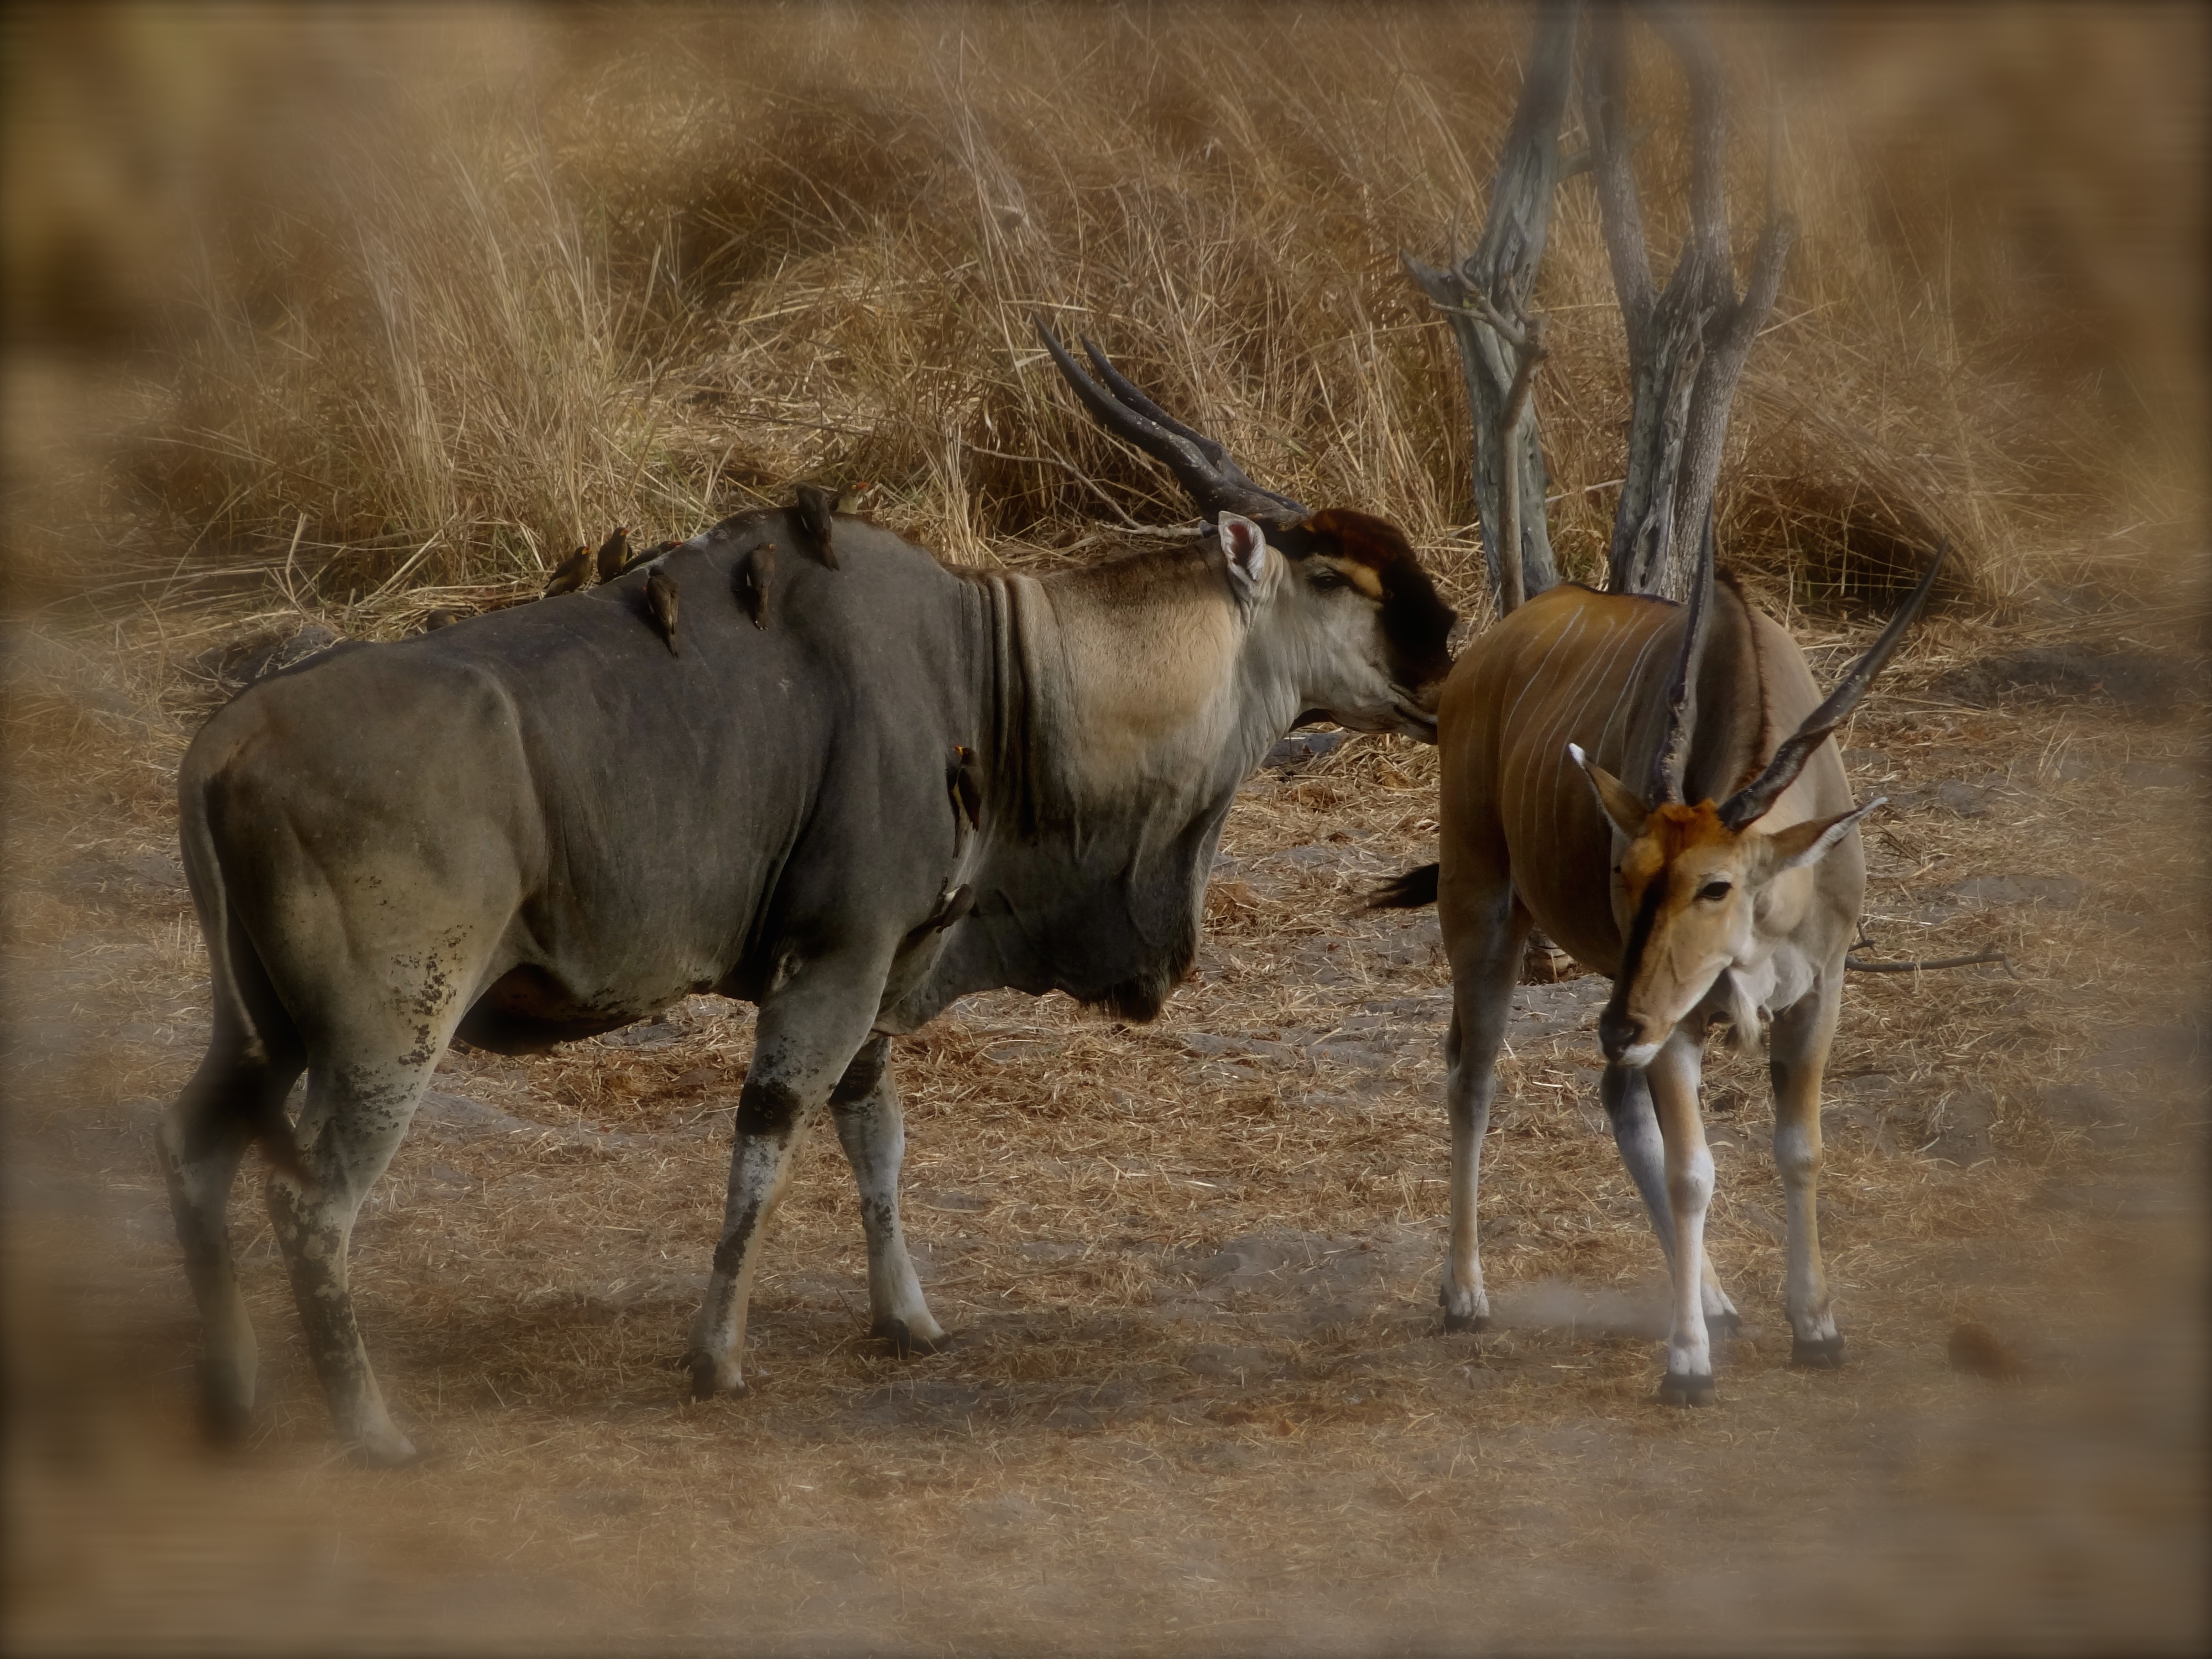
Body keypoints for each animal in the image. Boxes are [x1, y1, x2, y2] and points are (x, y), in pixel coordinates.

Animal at [164, 327, 1460, 1469]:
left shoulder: (881, 975)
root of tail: (228, 743)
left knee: (192, 1151)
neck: (996, 669)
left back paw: (229, 1400)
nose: (1448, 652)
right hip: (389, 1036)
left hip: (263, 1032)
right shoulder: (835, 964)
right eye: (1336, 576)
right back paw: (371, 1432)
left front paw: (908, 1323)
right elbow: (772, 1137)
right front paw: (717, 1361)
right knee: (313, 1209)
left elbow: (872, 1132)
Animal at [1371, 542, 1947, 1407]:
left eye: (1716, 885)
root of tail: (1489, 649)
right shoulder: (1674, 1022)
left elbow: (1799, 1149)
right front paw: (1687, 1364)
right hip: (1482, 911)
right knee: (1471, 1080)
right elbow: (1691, 1174)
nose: (1618, 1025)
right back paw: (1465, 1294)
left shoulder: (1816, 995)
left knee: (1613, 1094)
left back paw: (1712, 1296)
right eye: (1626, 869)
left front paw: (1815, 1327)